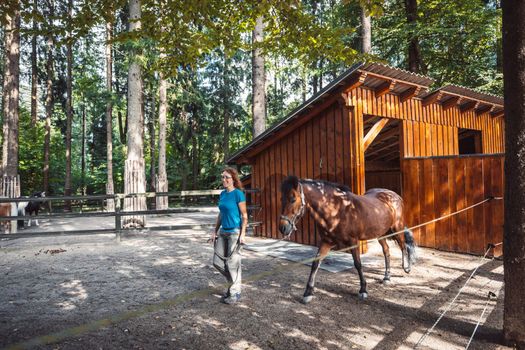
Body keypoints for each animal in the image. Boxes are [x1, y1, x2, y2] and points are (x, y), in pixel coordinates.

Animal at [278, 176, 414, 302]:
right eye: (281, 199)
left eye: (293, 199)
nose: (282, 228)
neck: (337, 211)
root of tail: (394, 195)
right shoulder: (326, 242)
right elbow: (315, 264)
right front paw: (308, 293)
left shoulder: (353, 242)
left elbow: (358, 264)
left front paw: (363, 290)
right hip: (380, 234)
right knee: (386, 251)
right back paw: (387, 277)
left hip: (397, 228)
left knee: (403, 245)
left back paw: (406, 268)